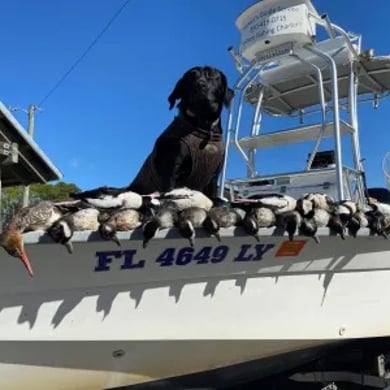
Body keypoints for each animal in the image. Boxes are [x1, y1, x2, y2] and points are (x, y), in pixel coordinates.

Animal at [128, 65, 233, 198]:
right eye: (189, 78)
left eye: (211, 74)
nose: (199, 84)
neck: (203, 125)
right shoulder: (171, 173)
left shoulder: (213, 178)